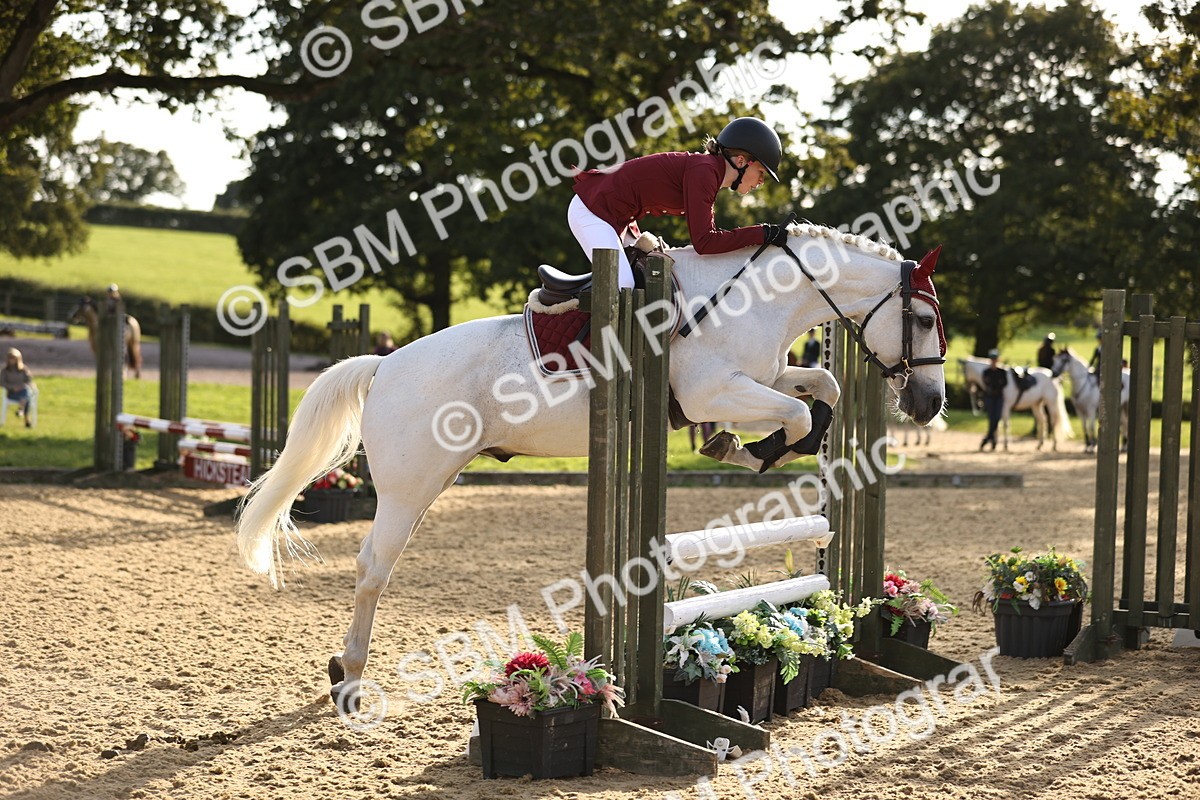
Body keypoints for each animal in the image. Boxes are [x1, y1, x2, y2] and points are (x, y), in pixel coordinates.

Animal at [235, 223, 948, 709]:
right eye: (920, 317)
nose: (929, 402)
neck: (759, 299)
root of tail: (384, 366)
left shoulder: (762, 379)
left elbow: (823, 387)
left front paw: (771, 442)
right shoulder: (713, 392)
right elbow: (796, 415)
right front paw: (752, 449)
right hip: (413, 486)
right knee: (371, 569)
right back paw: (350, 678)